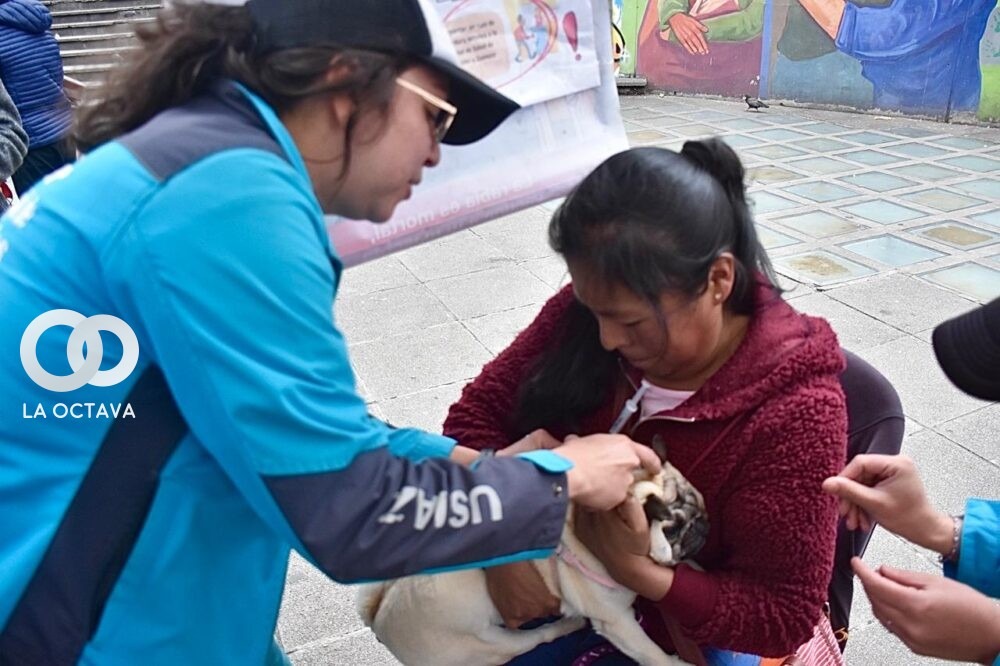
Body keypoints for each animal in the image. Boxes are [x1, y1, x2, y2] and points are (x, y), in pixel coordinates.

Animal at [356, 460, 709, 666]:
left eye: (701, 505)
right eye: (672, 528)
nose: (703, 525)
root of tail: (380, 617)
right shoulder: (619, 623)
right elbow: (653, 654)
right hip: (492, 645)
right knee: (537, 638)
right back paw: (565, 625)